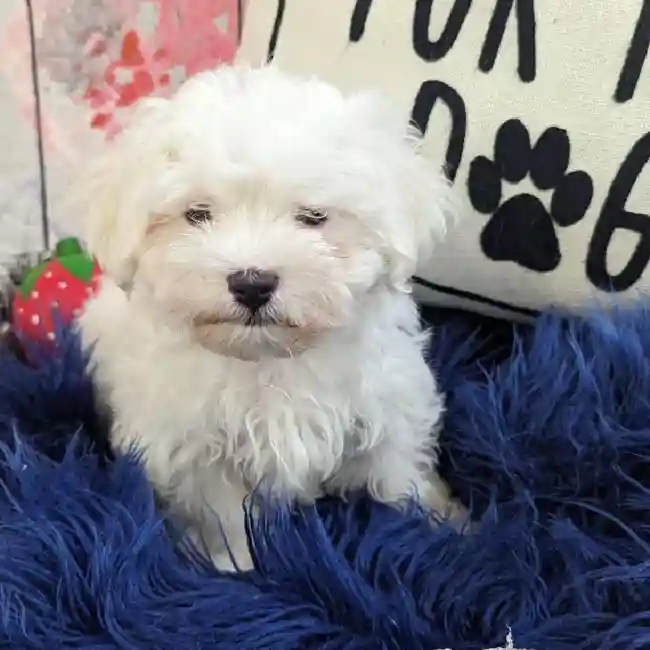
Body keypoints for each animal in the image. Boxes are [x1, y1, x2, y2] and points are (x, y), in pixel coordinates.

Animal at [75, 65, 460, 570]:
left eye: (313, 216)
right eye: (198, 214)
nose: (252, 283)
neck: (268, 357)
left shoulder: (388, 397)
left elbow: (399, 465)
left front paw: (443, 525)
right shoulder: (192, 444)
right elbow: (223, 513)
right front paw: (236, 566)